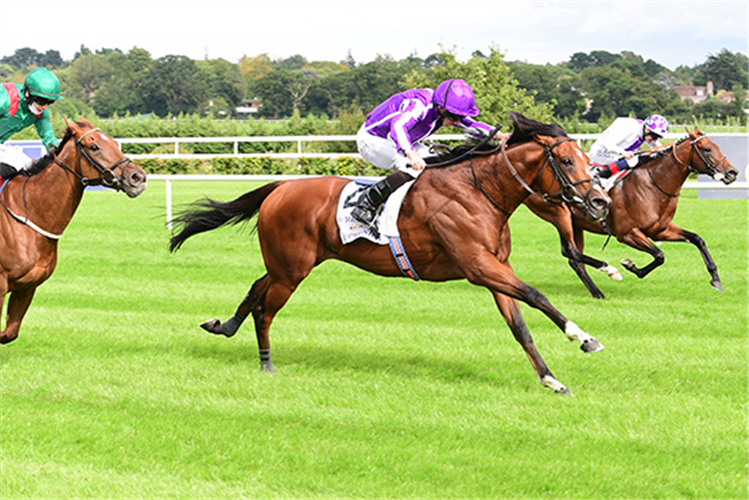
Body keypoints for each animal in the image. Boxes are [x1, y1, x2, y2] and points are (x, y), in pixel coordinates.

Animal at [0, 117, 146, 344]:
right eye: (94, 146)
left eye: (114, 142)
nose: (137, 177)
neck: (29, 212)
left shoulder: (27, 287)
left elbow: (8, 334)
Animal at [172, 112, 612, 394]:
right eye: (567, 160)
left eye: (589, 159)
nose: (601, 202)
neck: (480, 191)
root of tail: (281, 187)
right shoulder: (478, 266)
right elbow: (537, 295)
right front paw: (584, 337)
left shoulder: (494, 268)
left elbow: (519, 326)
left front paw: (551, 379)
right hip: (292, 270)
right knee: (266, 309)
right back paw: (266, 362)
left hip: (287, 264)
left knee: (256, 286)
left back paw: (224, 325)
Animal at [524, 129, 740, 300]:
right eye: (707, 149)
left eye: (716, 145)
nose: (732, 172)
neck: (653, 184)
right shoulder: (627, 233)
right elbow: (659, 255)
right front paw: (631, 266)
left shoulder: (660, 230)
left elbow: (697, 239)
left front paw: (715, 279)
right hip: (560, 215)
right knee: (569, 251)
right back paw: (608, 275)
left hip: (577, 224)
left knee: (575, 259)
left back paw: (597, 292)